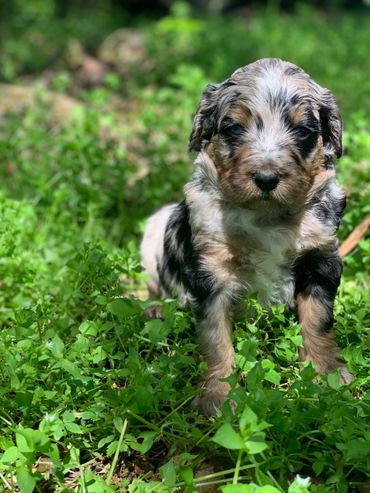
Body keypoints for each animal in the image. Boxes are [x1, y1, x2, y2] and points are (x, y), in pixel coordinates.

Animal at [140, 59, 352, 418]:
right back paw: (153, 309)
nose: (266, 178)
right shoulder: (211, 271)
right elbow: (215, 339)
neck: (268, 216)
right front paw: (218, 395)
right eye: (234, 129)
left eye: (303, 131)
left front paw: (327, 374)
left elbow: (318, 321)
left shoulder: (320, 258)